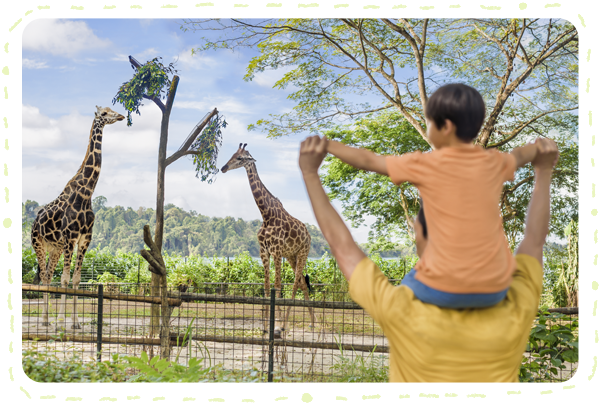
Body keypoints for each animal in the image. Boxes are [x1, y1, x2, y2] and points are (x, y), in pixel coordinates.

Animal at [31, 106, 124, 328]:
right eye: (104, 113)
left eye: (112, 110)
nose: (121, 116)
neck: (86, 194)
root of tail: (34, 222)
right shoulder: (70, 237)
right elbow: (64, 279)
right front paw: (61, 320)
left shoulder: (84, 239)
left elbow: (75, 279)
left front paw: (75, 322)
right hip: (38, 243)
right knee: (45, 276)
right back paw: (46, 320)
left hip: (54, 248)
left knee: (48, 275)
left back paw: (46, 319)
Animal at [219, 144, 314, 336]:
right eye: (232, 154)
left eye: (240, 158)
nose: (223, 168)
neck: (266, 214)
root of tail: (308, 235)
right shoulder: (264, 251)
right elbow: (266, 286)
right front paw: (264, 327)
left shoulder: (276, 251)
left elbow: (277, 285)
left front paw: (276, 326)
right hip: (291, 256)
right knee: (301, 283)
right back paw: (314, 323)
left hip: (303, 252)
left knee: (295, 284)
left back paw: (286, 325)